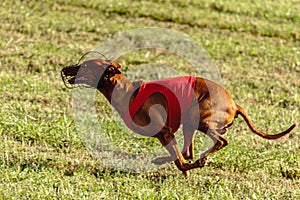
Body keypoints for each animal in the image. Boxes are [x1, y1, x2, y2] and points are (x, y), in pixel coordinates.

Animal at [60, 57, 296, 175]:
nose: (65, 68)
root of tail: (234, 103)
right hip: (190, 122)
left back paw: (202, 158)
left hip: (199, 119)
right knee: (189, 150)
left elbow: (181, 163)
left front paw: (190, 167)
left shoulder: (164, 132)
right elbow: (180, 158)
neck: (127, 92)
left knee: (219, 142)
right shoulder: (165, 134)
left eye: (86, 65)